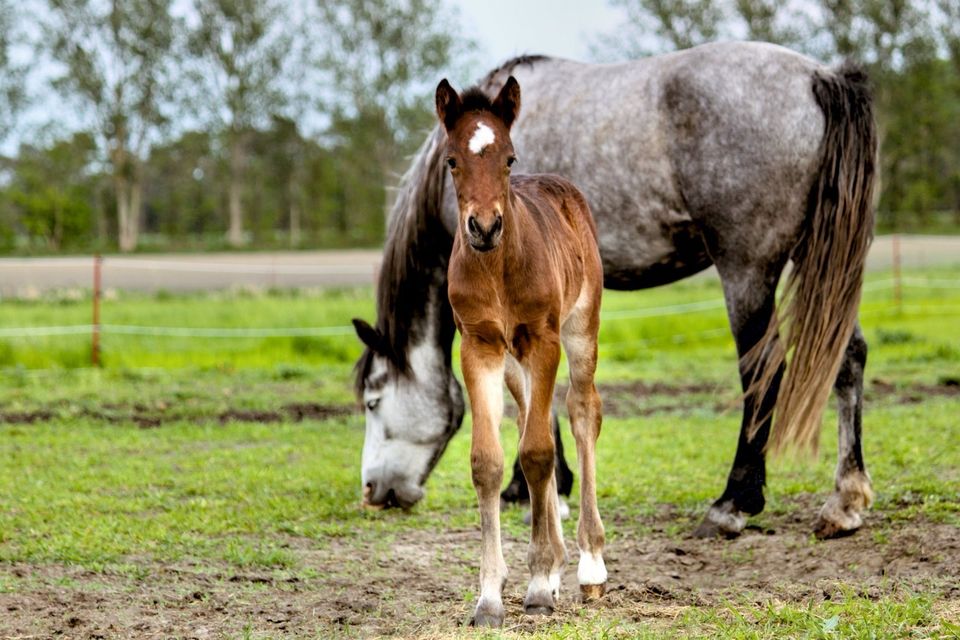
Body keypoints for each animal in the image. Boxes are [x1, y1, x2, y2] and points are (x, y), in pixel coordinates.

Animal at [436, 77, 604, 628]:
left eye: (508, 158)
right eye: (451, 160)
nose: (484, 227)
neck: (496, 268)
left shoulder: (543, 338)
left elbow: (537, 453)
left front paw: (536, 588)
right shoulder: (480, 346)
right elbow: (489, 460)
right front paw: (491, 597)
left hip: (580, 329)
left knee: (581, 411)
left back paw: (590, 566)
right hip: (514, 363)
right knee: (534, 413)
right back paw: (555, 567)